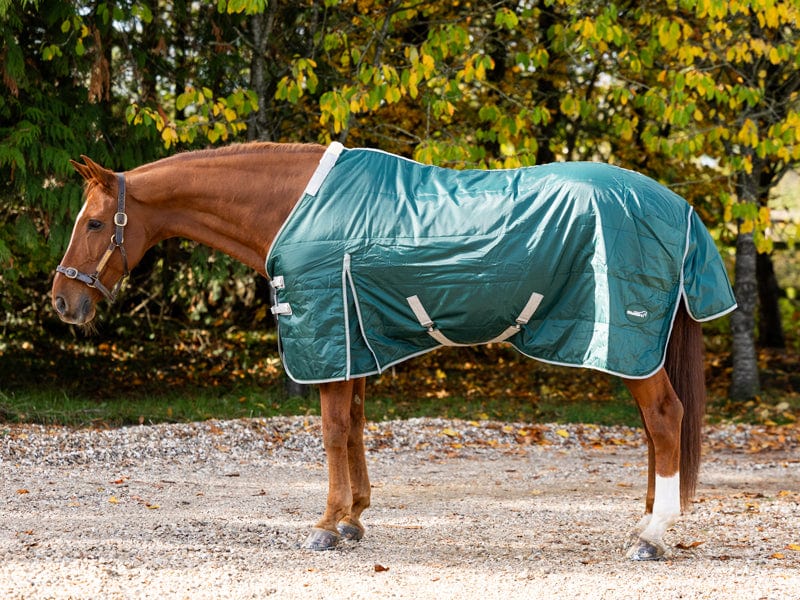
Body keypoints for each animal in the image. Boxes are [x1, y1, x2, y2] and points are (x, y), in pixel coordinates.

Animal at [52, 142, 736, 560]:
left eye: (93, 222)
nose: (63, 300)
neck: (295, 206)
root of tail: (678, 206)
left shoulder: (328, 334)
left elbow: (331, 431)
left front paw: (326, 526)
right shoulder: (353, 341)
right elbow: (354, 426)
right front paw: (354, 518)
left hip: (625, 343)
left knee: (665, 420)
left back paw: (652, 535)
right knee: (656, 430)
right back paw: (648, 522)